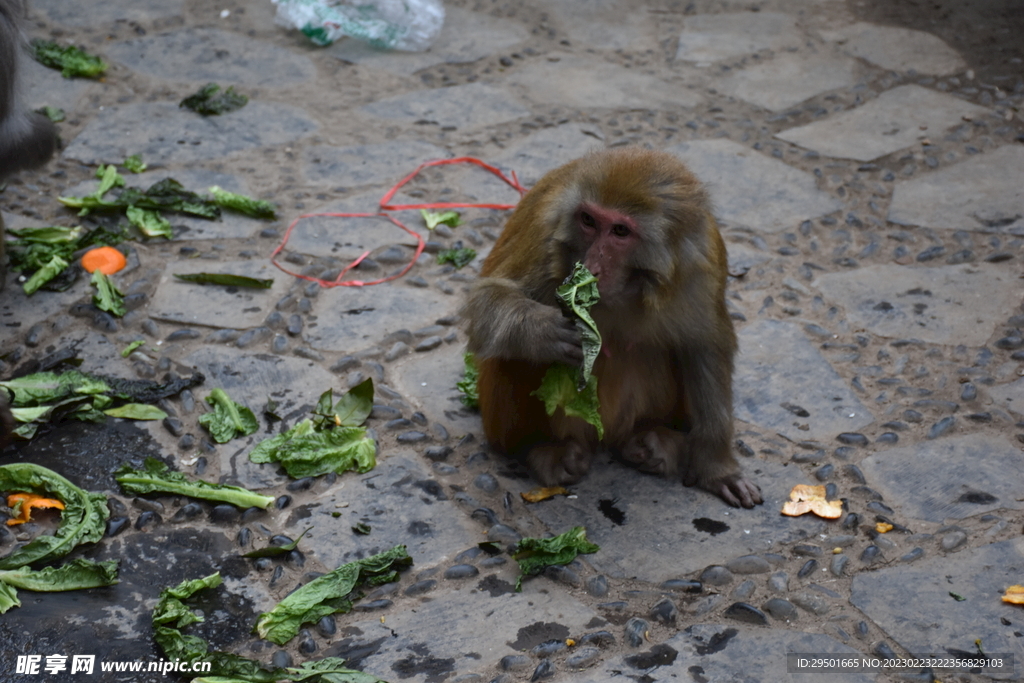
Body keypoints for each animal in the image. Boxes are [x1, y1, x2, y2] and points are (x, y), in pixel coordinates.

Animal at [464, 147, 761, 507]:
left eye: (620, 231)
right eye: (588, 221)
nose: (591, 264)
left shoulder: (701, 263)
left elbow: (706, 347)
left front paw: (718, 468)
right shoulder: (544, 232)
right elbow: (484, 303)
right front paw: (542, 332)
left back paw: (649, 441)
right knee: (511, 353)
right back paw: (543, 451)